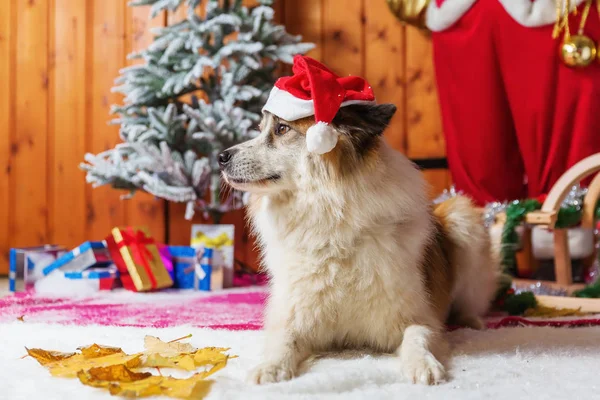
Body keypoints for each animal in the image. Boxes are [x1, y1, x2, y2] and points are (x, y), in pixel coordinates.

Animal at [219, 101, 496, 386]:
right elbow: (283, 340)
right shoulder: (294, 317)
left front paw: (423, 364)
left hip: (463, 218)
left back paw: (472, 322)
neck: (332, 233)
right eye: (261, 129)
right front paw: (271, 367)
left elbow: (417, 337)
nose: (221, 157)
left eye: (282, 129)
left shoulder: (419, 317)